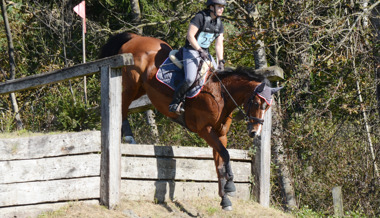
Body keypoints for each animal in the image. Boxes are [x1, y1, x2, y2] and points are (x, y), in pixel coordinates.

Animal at [99, 31, 280, 209]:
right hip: (131, 84)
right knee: (122, 107)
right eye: (256, 103)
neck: (220, 94)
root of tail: (136, 37)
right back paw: (128, 137)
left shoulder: (221, 135)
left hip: (140, 88)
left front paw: (225, 199)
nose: (255, 132)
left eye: (267, 107)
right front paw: (230, 186)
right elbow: (226, 155)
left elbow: (220, 162)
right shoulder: (204, 129)